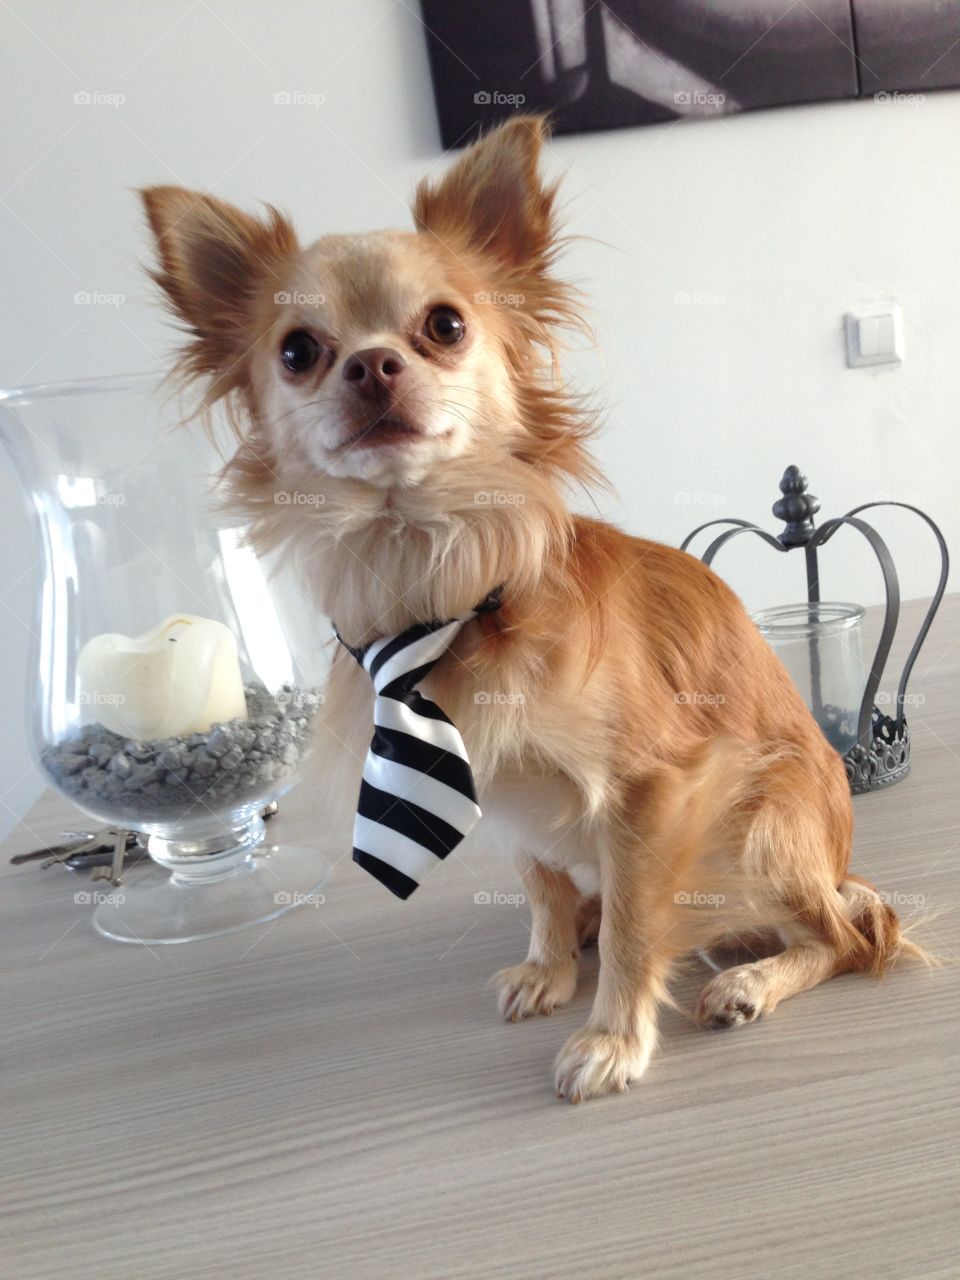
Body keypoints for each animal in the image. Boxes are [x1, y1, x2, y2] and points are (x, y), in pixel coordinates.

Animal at [140, 117, 926, 1100]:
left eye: (444, 326)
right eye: (296, 352)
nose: (371, 364)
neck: (437, 584)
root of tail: (839, 860)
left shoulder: (655, 791)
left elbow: (636, 925)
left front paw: (613, 1037)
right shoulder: (505, 789)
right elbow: (543, 890)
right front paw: (550, 966)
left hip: (767, 823)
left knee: (849, 937)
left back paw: (749, 980)